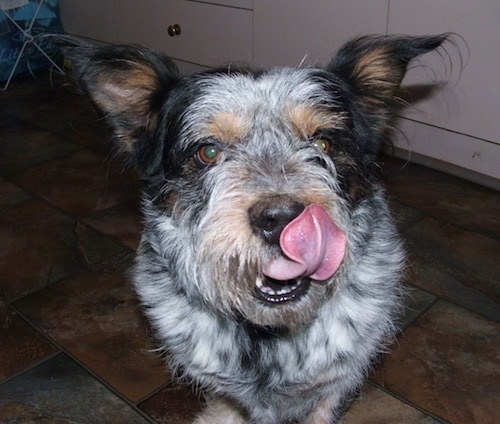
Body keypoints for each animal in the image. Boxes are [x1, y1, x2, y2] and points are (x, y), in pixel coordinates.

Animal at [54, 34, 450, 424]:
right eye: (208, 152)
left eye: (323, 143)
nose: (281, 219)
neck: (267, 334)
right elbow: (226, 405)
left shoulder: (336, 382)